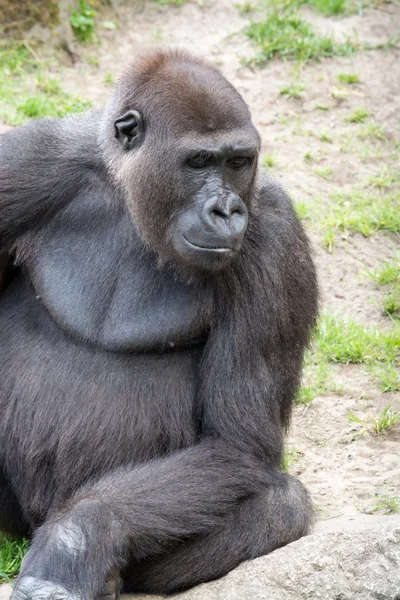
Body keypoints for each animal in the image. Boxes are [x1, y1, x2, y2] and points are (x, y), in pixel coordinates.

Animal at [0, 49, 318, 596]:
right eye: (199, 162)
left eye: (238, 162)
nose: (227, 209)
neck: (130, 191)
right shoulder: (28, 161)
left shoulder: (275, 234)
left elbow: (236, 442)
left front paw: (76, 541)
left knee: (283, 503)